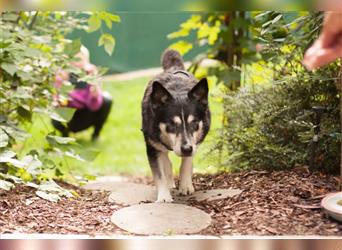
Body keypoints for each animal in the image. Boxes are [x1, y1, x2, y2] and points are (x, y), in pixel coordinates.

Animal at [140, 49, 210, 203]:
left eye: (194, 123)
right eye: (171, 124)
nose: (186, 149)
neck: (178, 90)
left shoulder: (195, 142)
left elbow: (187, 162)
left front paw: (185, 185)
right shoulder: (152, 146)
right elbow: (159, 173)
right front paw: (164, 197)